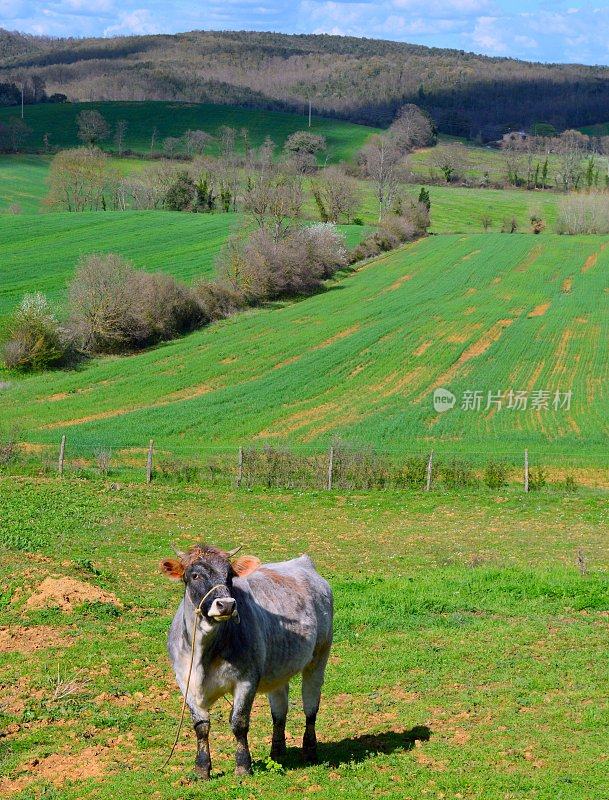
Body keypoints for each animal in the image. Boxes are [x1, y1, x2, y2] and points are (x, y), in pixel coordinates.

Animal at [162, 548, 332, 780]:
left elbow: (239, 723)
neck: (203, 655)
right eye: (195, 575)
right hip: (278, 669)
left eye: (230, 576)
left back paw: (309, 751)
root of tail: (303, 562)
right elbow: (201, 726)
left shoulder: (247, 680)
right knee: (279, 710)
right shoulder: (185, 682)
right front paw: (202, 768)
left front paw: (243, 765)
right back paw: (277, 752)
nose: (226, 604)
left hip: (319, 657)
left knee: (311, 705)